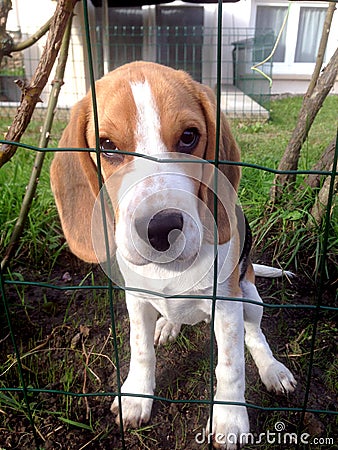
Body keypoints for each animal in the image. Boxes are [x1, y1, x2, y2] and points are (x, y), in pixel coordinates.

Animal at [50, 61, 296, 448]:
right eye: (107, 146)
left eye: (189, 137)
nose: (161, 228)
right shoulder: (136, 299)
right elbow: (140, 350)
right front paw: (137, 395)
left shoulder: (227, 304)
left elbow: (231, 366)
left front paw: (229, 419)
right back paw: (168, 324)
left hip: (250, 296)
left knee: (255, 337)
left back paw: (273, 369)